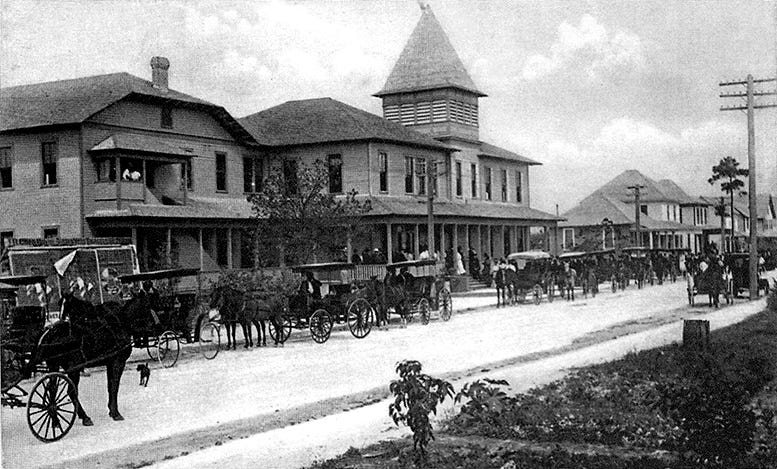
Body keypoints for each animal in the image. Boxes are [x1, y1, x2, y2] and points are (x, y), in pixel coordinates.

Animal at [37, 294, 136, 426]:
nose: (61, 319)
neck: (118, 321)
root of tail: (51, 333)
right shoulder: (118, 362)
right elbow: (114, 386)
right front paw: (115, 413)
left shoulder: (110, 363)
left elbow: (110, 386)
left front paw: (111, 410)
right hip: (73, 369)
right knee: (71, 391)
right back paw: (84, 417)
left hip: (54, 366)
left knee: (52, 390)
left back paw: (55, 420)